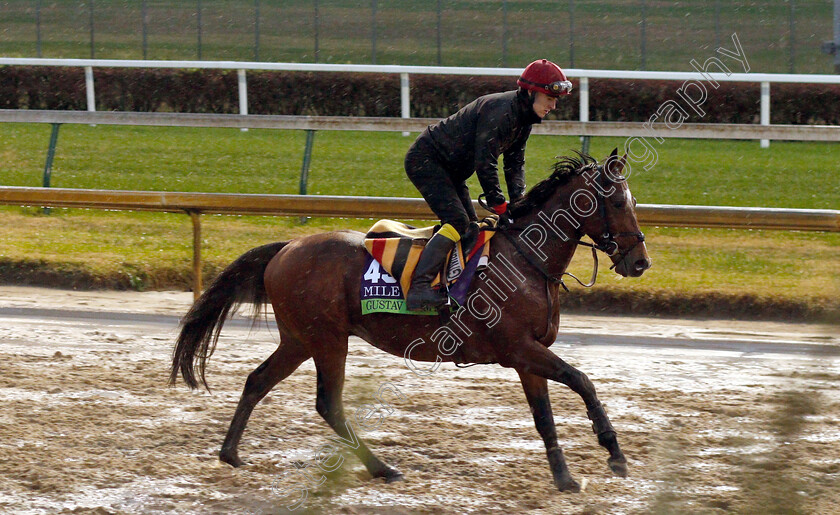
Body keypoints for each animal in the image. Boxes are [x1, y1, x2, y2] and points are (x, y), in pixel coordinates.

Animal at [169, 148, 648, 492]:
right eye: (617, 201)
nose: (640, 261)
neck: (527, 260)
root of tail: (286, 247)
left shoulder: (529, 355)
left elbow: (545, 415)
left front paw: (566, 476)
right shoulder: (519, 349)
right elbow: (582, 380)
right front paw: (614, 454)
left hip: (299, 339)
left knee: (258, 380)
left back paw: (231, 453)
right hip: (327, 339)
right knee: (328, 403)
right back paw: (383, 468)